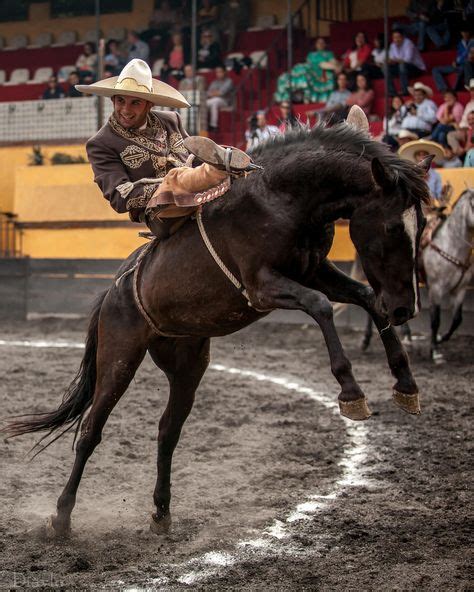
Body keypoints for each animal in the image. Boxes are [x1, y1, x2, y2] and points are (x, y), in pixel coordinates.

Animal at [3, 106, 430, 536]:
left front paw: (406, 385)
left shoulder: (314, 271)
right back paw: (61, 517)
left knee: (167, 431)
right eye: (393, 226)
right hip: (119, 359)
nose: (405, 309)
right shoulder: (263, 286)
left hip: (187, 363)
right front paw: (351, 392)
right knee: (91, 431)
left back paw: (161, 511)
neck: (279, 197)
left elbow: (366, 300)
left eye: (423, 225)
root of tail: (115, 289)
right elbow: (322, 306)